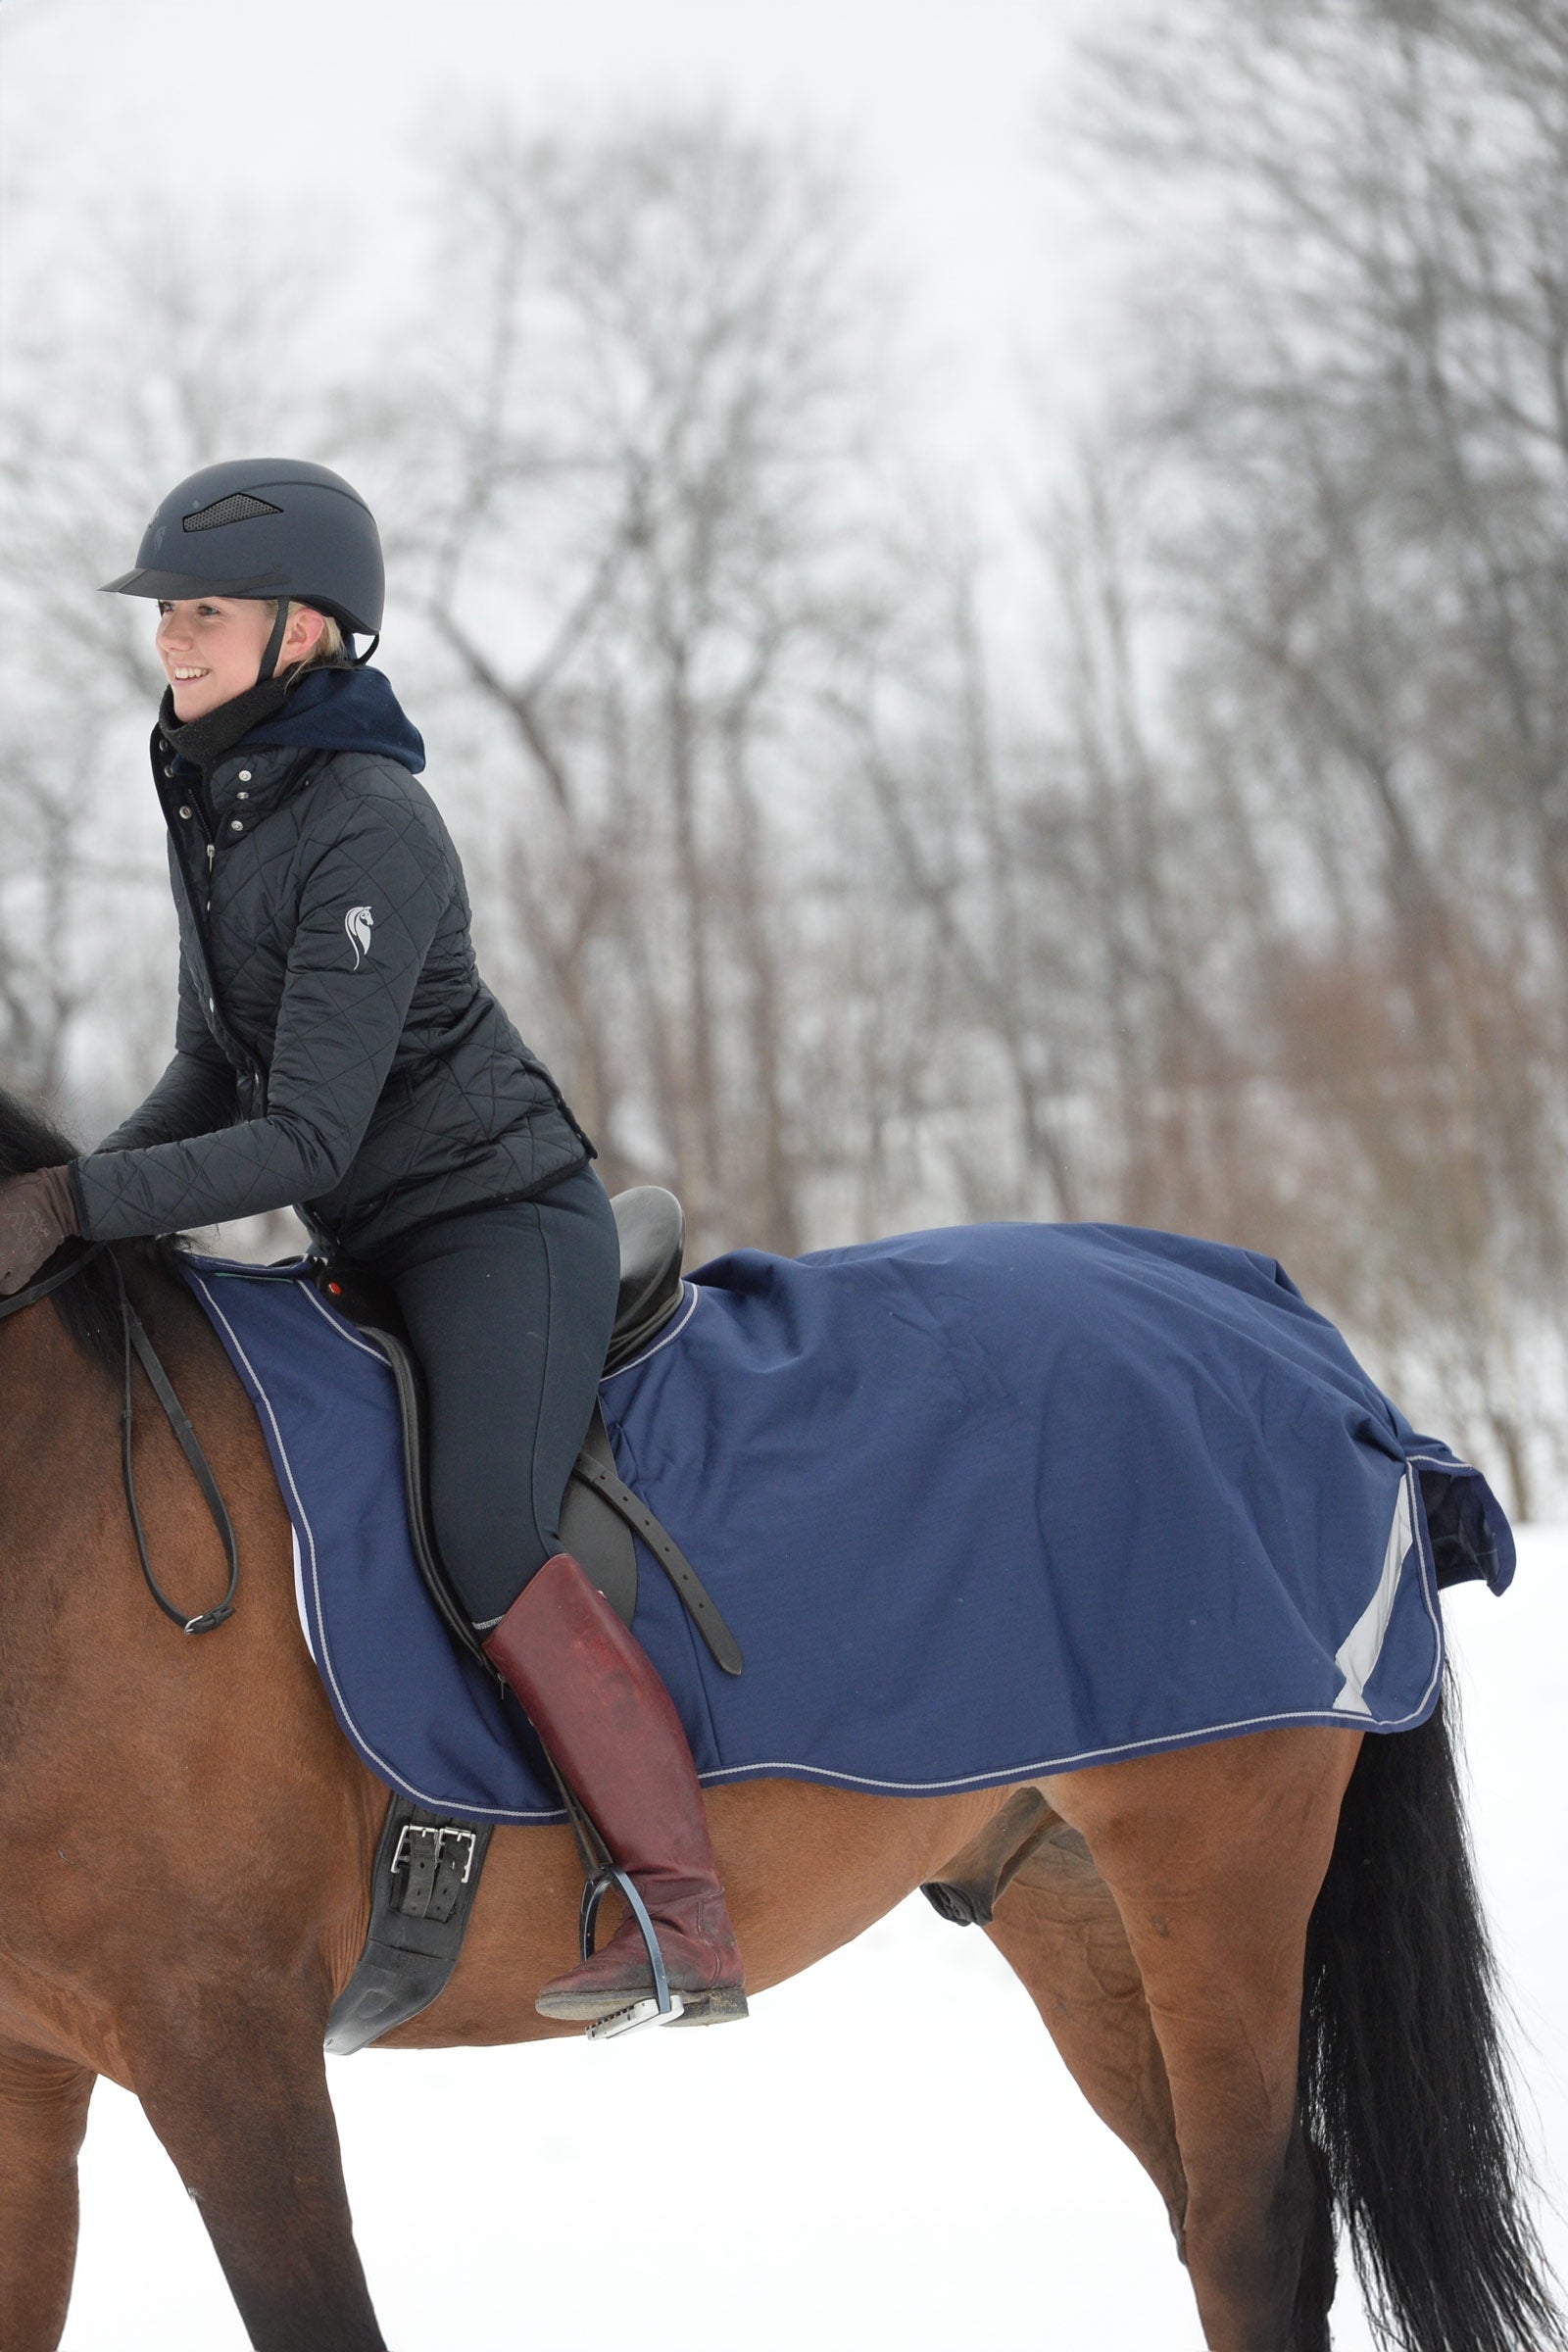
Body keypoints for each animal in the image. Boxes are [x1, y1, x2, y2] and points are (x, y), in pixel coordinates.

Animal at [0, 1084, 1557, 2352]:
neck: (64, 1515)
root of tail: (1276, 1320)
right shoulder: (32, 2085)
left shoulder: (229, 2048)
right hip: (1079, 1898)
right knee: (1215, 2218)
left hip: (1215, 1874)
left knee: (1251, 2230)